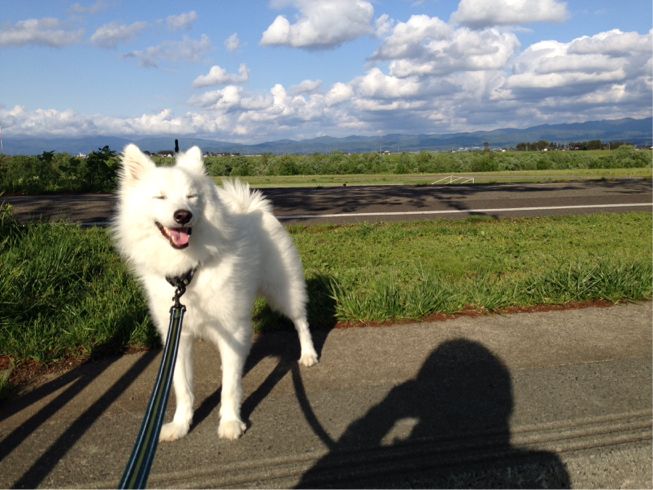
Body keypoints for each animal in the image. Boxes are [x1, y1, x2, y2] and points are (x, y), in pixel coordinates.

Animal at [113, 144, 318, 441]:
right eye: (160, 197)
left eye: (191, 196)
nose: (183, 215)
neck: (188, 272)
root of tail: (253, 207)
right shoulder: (178, 336)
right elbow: (183, 387)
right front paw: (180, 424)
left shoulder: (232, 326)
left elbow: (230, 387)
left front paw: (231, 422)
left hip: (283, 291)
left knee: (301, 321)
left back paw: (309, 354)